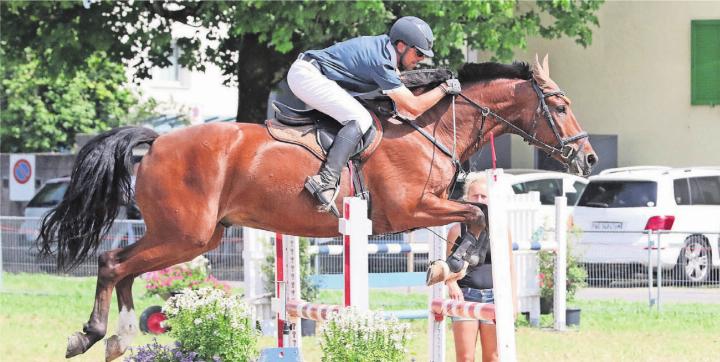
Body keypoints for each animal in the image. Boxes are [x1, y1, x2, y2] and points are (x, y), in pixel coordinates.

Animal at [36, 53, 596, 360]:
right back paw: (91, 336)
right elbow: (477, 214)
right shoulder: (410, 210)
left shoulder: (431, 207)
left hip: (193, 236)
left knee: (123, 267)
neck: (429, 127)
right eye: (561, 105)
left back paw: (119, 339)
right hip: (185, 235)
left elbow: (475, 216)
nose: (587, 159)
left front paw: (448, 264)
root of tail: (156, 142)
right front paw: (454, 263)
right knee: (113, 263)